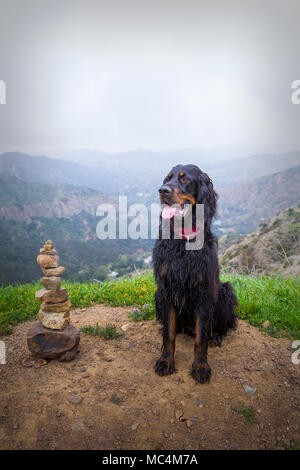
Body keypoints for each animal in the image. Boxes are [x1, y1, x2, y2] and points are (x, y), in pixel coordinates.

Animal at [154, 163, 238, 384]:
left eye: (185, 179)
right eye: (168, 178)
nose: (162, 191)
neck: (184, 241)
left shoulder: (204, 290)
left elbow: (201, 338)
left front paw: (200, 366)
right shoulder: (167, 288)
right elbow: (170, 334)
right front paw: (166, 361)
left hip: (224, 291)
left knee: (218, 326)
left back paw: (216, 335)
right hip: (157, 295)